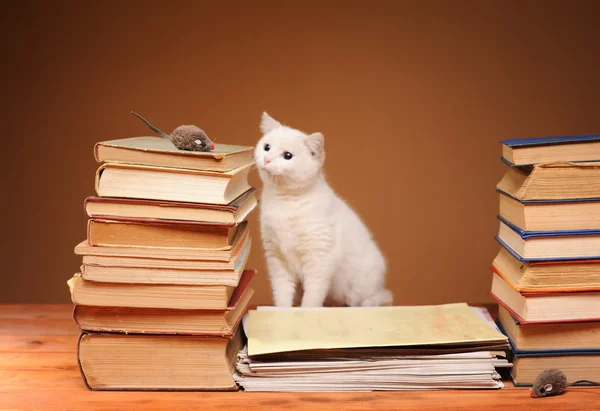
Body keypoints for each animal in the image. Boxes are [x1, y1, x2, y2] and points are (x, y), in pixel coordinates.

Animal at [254, 111, 392, 308]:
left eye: (287, 155)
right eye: (267, 147)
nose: (267, 159)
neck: (285, 202)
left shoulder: (319, 259)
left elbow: (313, 295)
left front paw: (305, 311)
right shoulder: (277, 259)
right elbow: (282, 292)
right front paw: (282, 310)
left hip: (363, 288)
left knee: (378, 297)